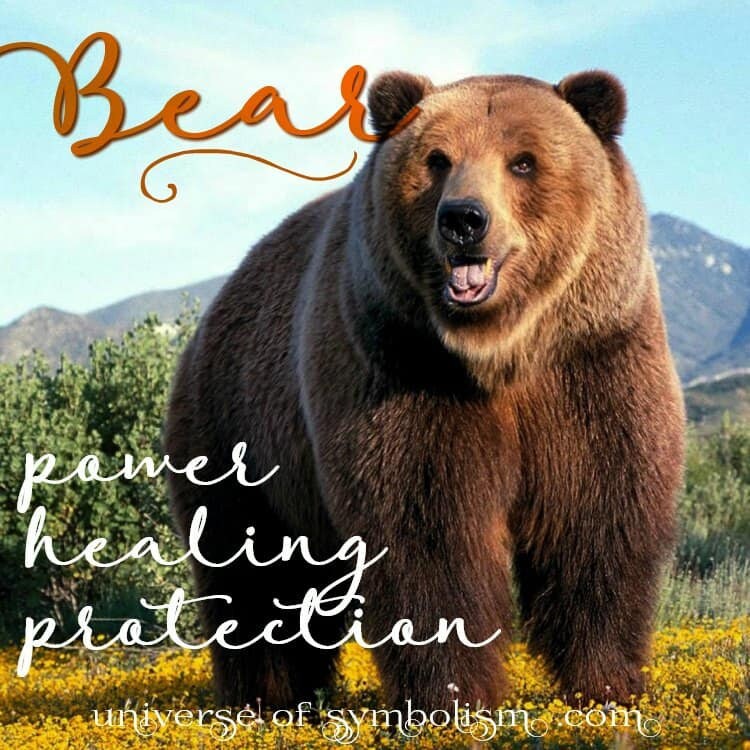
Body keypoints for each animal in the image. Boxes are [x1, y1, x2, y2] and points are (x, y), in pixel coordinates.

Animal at [164, 69, 685, 711]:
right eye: (438, 159)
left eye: (524, 161)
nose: (463, 218)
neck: (501, 352)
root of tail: (215, 309)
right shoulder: (401, 369)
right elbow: (428, 532)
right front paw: (450, 697)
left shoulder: (592, 363)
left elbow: (598, 513)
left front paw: (607, 681)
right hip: (236, 433)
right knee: (252, 573)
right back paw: (267, 697)